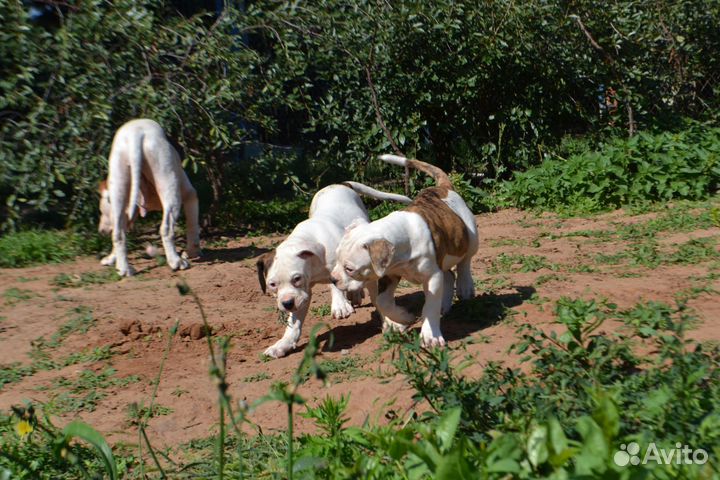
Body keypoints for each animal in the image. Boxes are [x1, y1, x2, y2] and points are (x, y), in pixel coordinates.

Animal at [97, 118, 200, 276]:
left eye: (102, 211)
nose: (100, 231)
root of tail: (135, 134)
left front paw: (112, 259)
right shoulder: (190, 195)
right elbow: (192, 225)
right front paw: (193, 252)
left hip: (119, 182)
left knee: (118, 233)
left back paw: (125, 269)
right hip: (169, 185)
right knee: (166, 229)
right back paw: (176, 262)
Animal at [258, 182, 410, 358]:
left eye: (297, 278)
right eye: (272, 285)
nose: (287, 303)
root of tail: (338, 183)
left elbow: (372, 297)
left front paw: (392, 323)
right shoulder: (302, 295)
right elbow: (294, 324)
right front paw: (284, 344)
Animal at [330, 156, 478, 346]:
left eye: (349, 269)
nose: (333, 279)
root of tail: (443, 187)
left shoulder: (432, 277)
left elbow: (429, 306)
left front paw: (430, 336)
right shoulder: (389, 274)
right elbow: (382, 302)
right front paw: (403, 317)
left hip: (470, 235)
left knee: (465, 261)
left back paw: (465, 286)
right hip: (443, 257)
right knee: (449, 275)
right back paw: (445, 305)